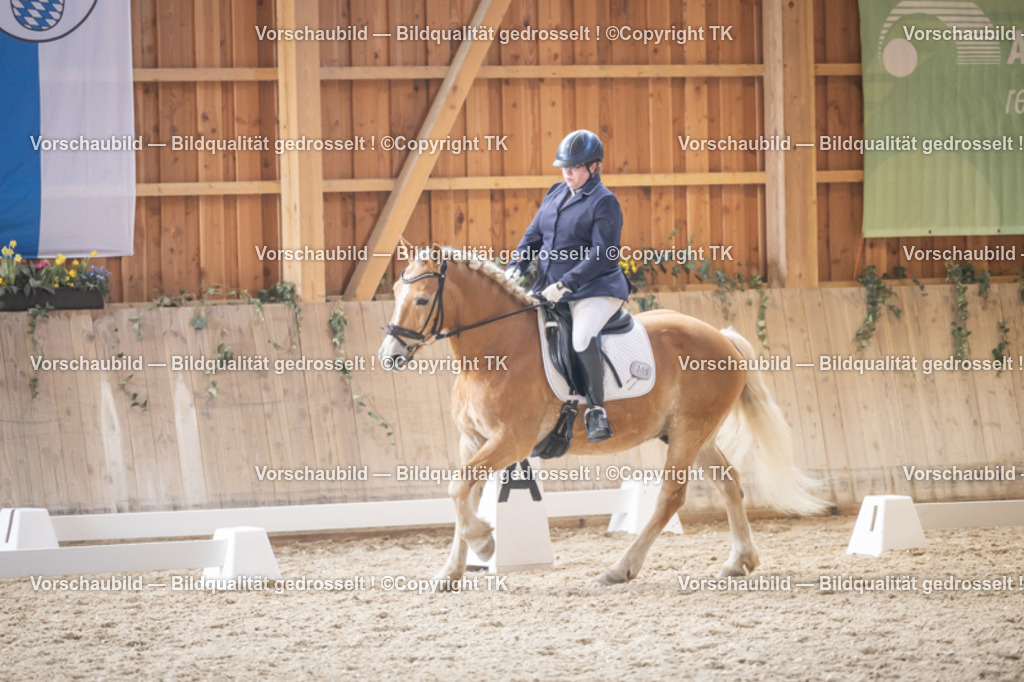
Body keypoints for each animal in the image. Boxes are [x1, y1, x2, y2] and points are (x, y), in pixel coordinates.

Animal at [377, 249, 826, 585]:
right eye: (396, 291)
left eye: (421, 300)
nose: (390, 356)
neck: (494, 352)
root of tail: (722, 336)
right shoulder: (472, 439)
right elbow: (462, 493)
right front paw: (451, 571)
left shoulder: (511, 441)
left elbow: (458, 488)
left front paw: (485, 543)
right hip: (696, 434)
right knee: (729, 482)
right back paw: (739, 561)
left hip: (689, 431)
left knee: (671, 496)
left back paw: (620, 568)